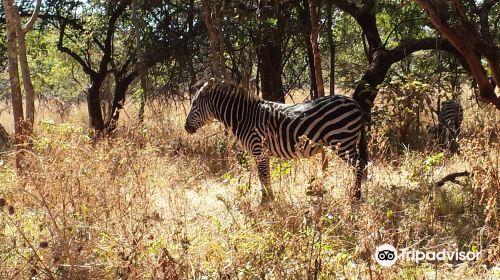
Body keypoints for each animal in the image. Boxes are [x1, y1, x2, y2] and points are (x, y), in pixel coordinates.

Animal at [184, 78, 368, 203]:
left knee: (359, 165)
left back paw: (356, 195)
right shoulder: (262, 152)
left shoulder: (258, 148)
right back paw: (357, 193)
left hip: (342, 141)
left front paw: (266, 201)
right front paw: (269, 199)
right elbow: (265, 176)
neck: (244, 117)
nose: (186, 128)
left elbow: (263, 175)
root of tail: (354, 102)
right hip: (345, 142)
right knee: (361, 165)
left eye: (194, 104)